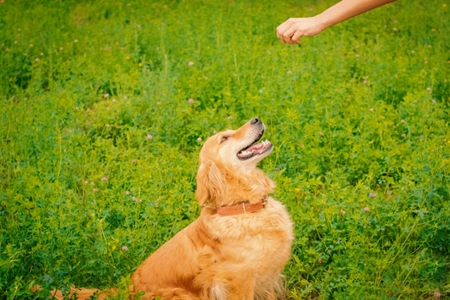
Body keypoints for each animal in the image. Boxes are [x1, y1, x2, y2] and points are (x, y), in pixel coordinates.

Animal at [36, 118, 296, 298]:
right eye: (224, 138)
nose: (256, 119)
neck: (242, 206)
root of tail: (125, 288)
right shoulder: (239, 283)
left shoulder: (268, 280)